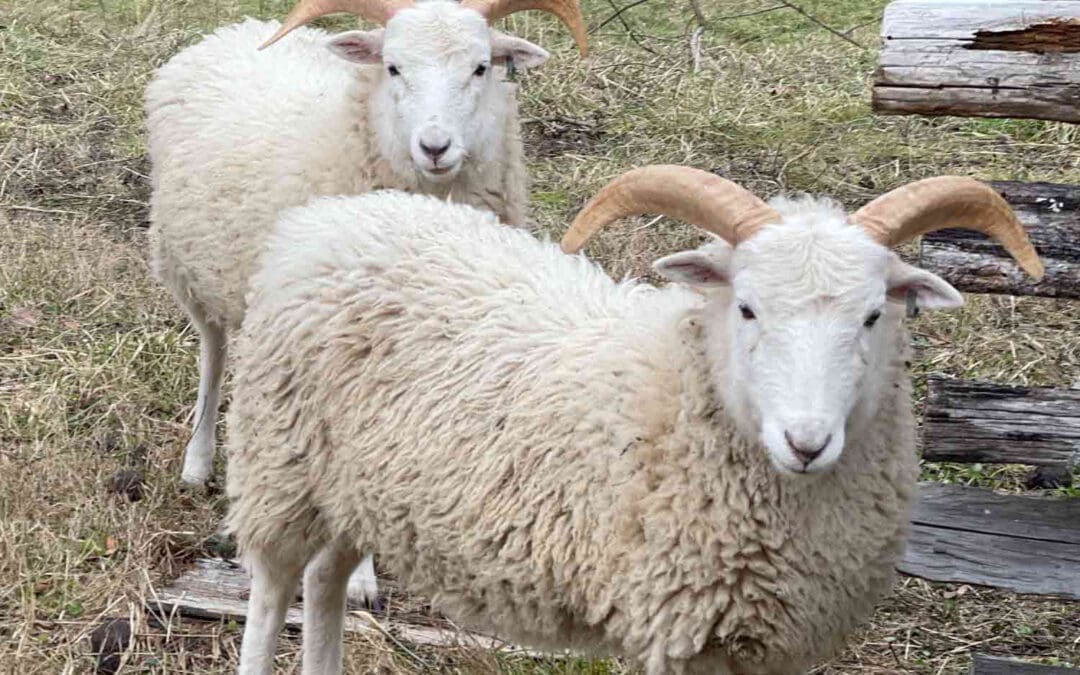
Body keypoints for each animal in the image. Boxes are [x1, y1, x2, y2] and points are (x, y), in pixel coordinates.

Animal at [145, 0, 587, 489]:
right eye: (392, 67)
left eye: (481, 67)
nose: (435, 147)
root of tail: (237, 28)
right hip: (187, 268)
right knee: (213, 353)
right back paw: (198, 459)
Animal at [223, 166, 1042, 675]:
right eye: (747, 308)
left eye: (874, 315)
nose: (806, 442)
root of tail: (326, 219)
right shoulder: (675, 626)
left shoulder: (767, 642)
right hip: (280, 462)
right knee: (273, 587)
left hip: (358, 487)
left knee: (326, 578)